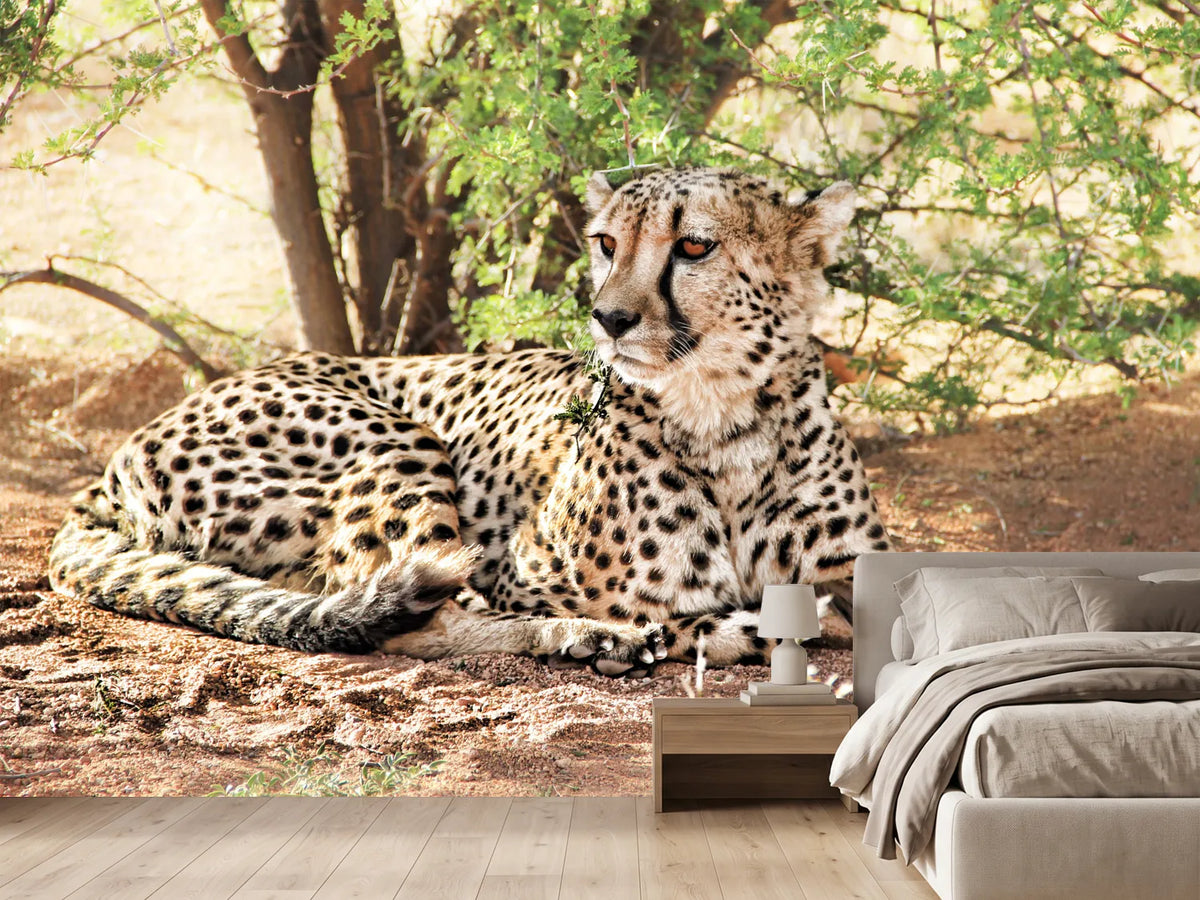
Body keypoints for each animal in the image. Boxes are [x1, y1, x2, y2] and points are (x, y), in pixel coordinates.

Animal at [49, 166, 890, 676]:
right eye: (606, 243)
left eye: (693, 246)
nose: (608, 318)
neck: (727, 418)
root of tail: (111, 467)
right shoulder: (520, 569)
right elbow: (635, 606)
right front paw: (654, 629)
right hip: (394, 441)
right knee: (404, 613)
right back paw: (605, 640)